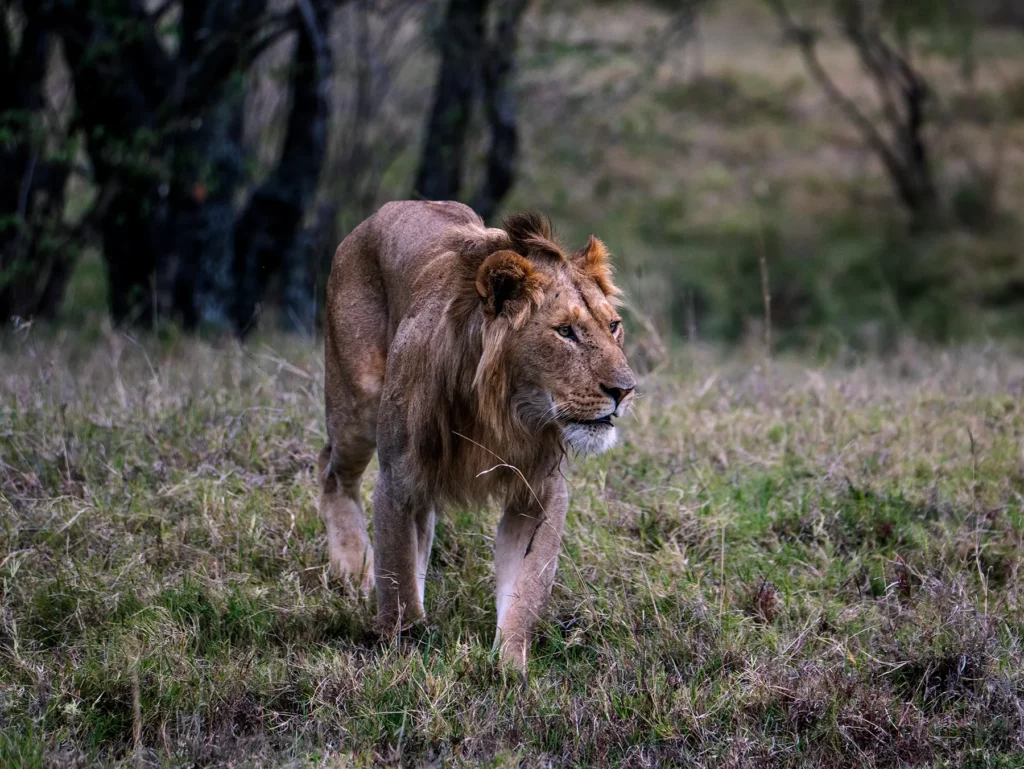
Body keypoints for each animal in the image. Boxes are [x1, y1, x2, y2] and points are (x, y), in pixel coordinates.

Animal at [318, 200, 635, 669]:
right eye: (565, 331)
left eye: (612, 326)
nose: (625, 390)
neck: (504, 412)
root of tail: (385, 211)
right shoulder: (397, 478)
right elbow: (397, 584)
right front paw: (403, 654)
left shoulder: (541, 490)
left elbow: (526, 588)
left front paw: (510, 669)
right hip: (356, 406)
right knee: (331, 471)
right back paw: (354, 570)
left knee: (420, 527)